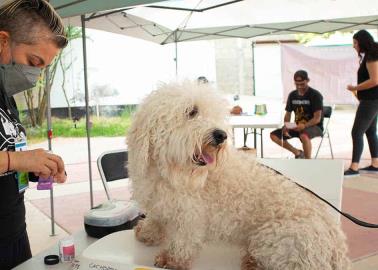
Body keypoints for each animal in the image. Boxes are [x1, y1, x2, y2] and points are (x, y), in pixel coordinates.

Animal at [127, 83, 352, 270]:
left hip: (273, 237)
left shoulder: (190, 216)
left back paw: (253, 262)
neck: (167, 172)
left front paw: (172, 260)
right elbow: (155, 218)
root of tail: (338, 249)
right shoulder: (158, 203)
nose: (221, 135)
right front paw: (147, 232)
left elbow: (184, 241)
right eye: (191, 111)